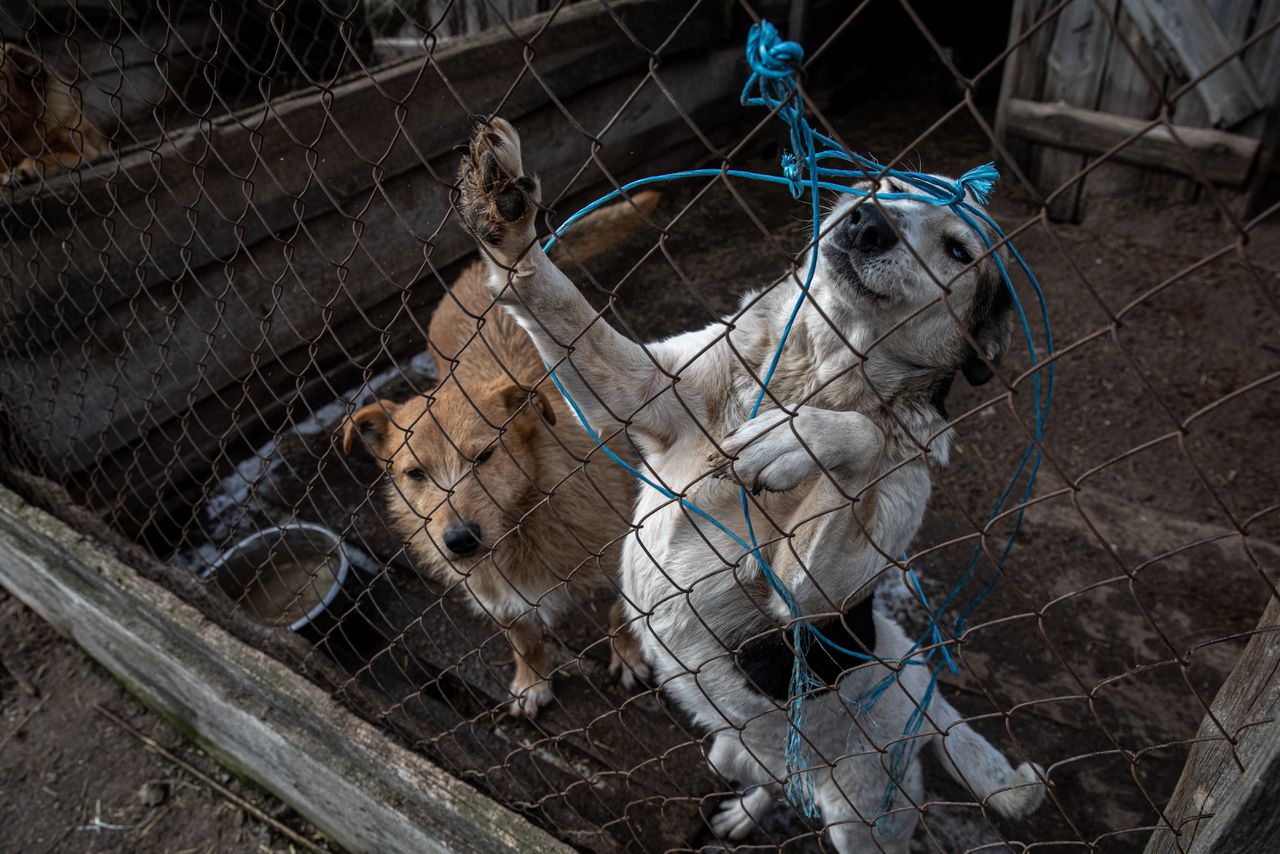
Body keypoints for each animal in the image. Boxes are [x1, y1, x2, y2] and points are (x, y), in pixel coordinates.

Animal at [343, 192, 655, 717]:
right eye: (414, 473)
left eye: (485, 456)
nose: (460, 540)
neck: (525, 515)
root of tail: (482, 266)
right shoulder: (493, 591)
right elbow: (524, 640)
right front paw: (532, 681)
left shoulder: (617, 553)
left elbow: (620, 611)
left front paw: (628, 654)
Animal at [455, 117, 1044, 850]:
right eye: (882, 186)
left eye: (959, 249)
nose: (867, 222)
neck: (817, 370)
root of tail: (919, 684)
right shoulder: (641, 390)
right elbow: (557, 300)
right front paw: (505, 218)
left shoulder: (808, 596)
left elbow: (868, 439)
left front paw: (800, 438)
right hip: (730, 749)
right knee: (769, 779)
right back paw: (743, 810)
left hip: (860, 816)